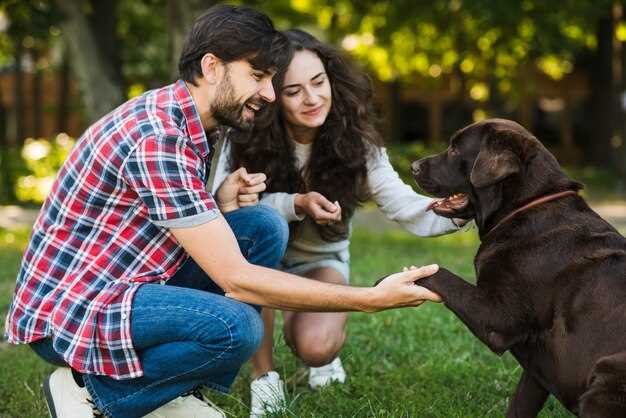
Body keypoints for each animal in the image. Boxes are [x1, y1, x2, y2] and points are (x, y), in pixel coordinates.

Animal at [410, 118, 624, 418]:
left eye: (455, 149)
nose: (413, 166)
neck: (525, 207)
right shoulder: (538, 368)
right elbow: (520, 403)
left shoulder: (499, 318)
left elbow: (441, 273)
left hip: (607, 376)